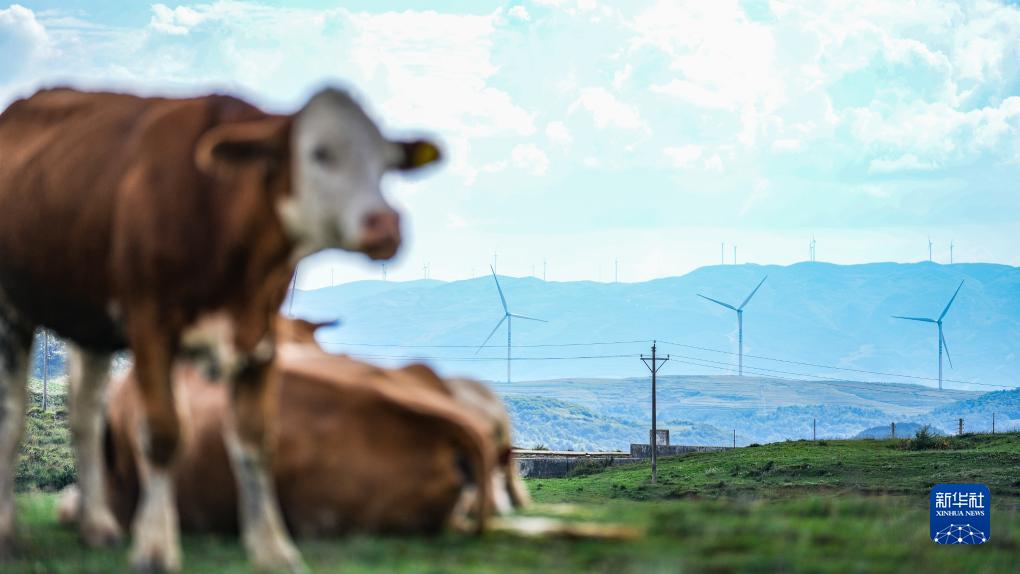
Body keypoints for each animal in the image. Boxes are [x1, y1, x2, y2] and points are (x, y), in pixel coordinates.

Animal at [0, 87, 438, 570]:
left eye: (386, 163)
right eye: (319, 153)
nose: (386, 226)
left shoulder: (261, 337)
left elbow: (255, 441)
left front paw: (272, 547)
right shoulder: (152, 330)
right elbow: (163, 436)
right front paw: (156, 548)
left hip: (92, 323)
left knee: (86, 417)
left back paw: (97, 526)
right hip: (12, 312)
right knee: (12, 416)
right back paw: (9, 532)